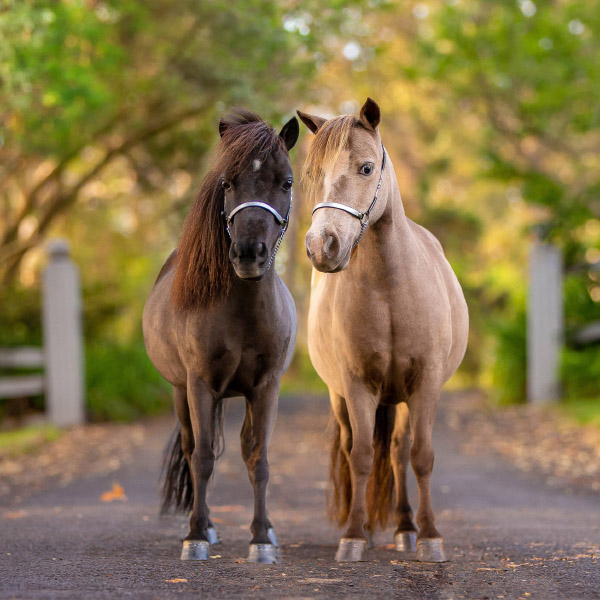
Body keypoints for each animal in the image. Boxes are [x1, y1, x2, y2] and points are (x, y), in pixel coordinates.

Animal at [141, 110, 300, 564]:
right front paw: (196, 535)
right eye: (228, 183)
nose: (249, 253)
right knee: (193, 447)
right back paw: (208, 527)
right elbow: (203, 457)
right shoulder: (199, 386)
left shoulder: (265, 388)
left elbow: (258, 458)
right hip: (182, 393)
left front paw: (261, 539)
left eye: (286, 182)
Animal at [298, 98, 468, 564]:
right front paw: (354, 537)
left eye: (366, 168)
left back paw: (407, 528)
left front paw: (430, 537)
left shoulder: (426, 385)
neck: (391, 290)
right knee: (360, 448)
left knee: (397, 451)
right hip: (342, 397)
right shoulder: (357, 385)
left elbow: (421, 456)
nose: (322, 247)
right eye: (314, 174)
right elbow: (360, 456)